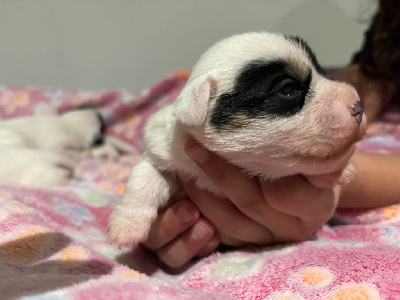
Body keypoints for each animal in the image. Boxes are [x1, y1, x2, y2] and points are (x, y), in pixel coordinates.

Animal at [108, 31, 368, 246]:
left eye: (323, 72)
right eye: (288, 89)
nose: (359, 106)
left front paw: (338, 172)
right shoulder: (164, 154)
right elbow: (145, 178)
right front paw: (126, 228)